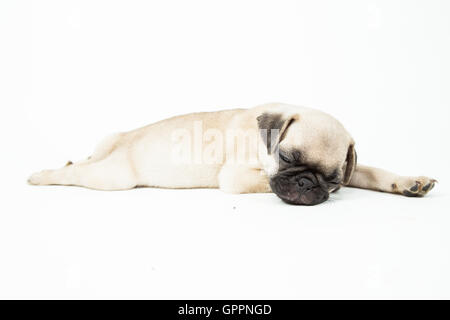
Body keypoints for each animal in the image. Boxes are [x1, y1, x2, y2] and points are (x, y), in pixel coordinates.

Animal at [28, 104, 436, 206]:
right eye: (288, 158)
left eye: (334, 179)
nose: (309, 184)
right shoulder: (239, 177)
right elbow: (268, 182)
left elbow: (370, 171)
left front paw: (409, 182)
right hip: (114, 179)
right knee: (76, 175)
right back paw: (43, 174)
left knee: (83, 162)